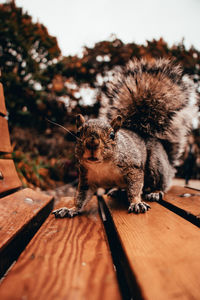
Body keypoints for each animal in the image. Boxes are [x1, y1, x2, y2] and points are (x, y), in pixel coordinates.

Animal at [52, 58, 198, 218]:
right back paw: (117, 191)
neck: (102, 166)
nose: (92, 144)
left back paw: (155, 192)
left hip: (156, 164)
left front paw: (136, 203)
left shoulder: (133, 167)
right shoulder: (86, 178)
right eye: (78, 133)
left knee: (160, 183)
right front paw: (70, 209)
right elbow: (81, 197)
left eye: (112, 135)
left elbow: (135, 188)